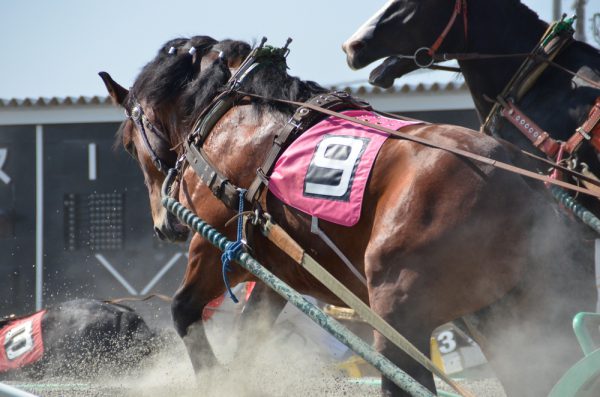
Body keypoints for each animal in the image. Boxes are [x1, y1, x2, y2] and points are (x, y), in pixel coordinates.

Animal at [102, 35, 596, 394]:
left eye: (127, 143)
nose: (164, 226)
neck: (235, 115)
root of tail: (520, 183)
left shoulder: (215, 243)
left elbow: (184, 310)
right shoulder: (270, 270)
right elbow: (247, 340)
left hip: (398, 304)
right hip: (502, 312)